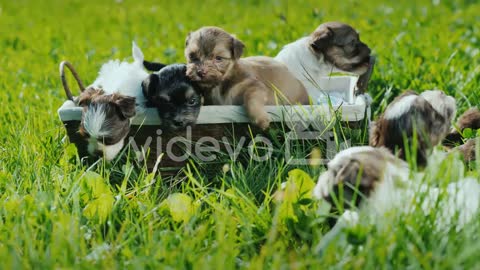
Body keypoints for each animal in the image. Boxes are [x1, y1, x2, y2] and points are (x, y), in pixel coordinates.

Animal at [182, 26, 310, 130]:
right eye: (192, 56)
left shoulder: (254, 86)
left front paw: (260, 119)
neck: (219, 85)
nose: (200, 72)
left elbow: (251, 99)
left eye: (218, 58)